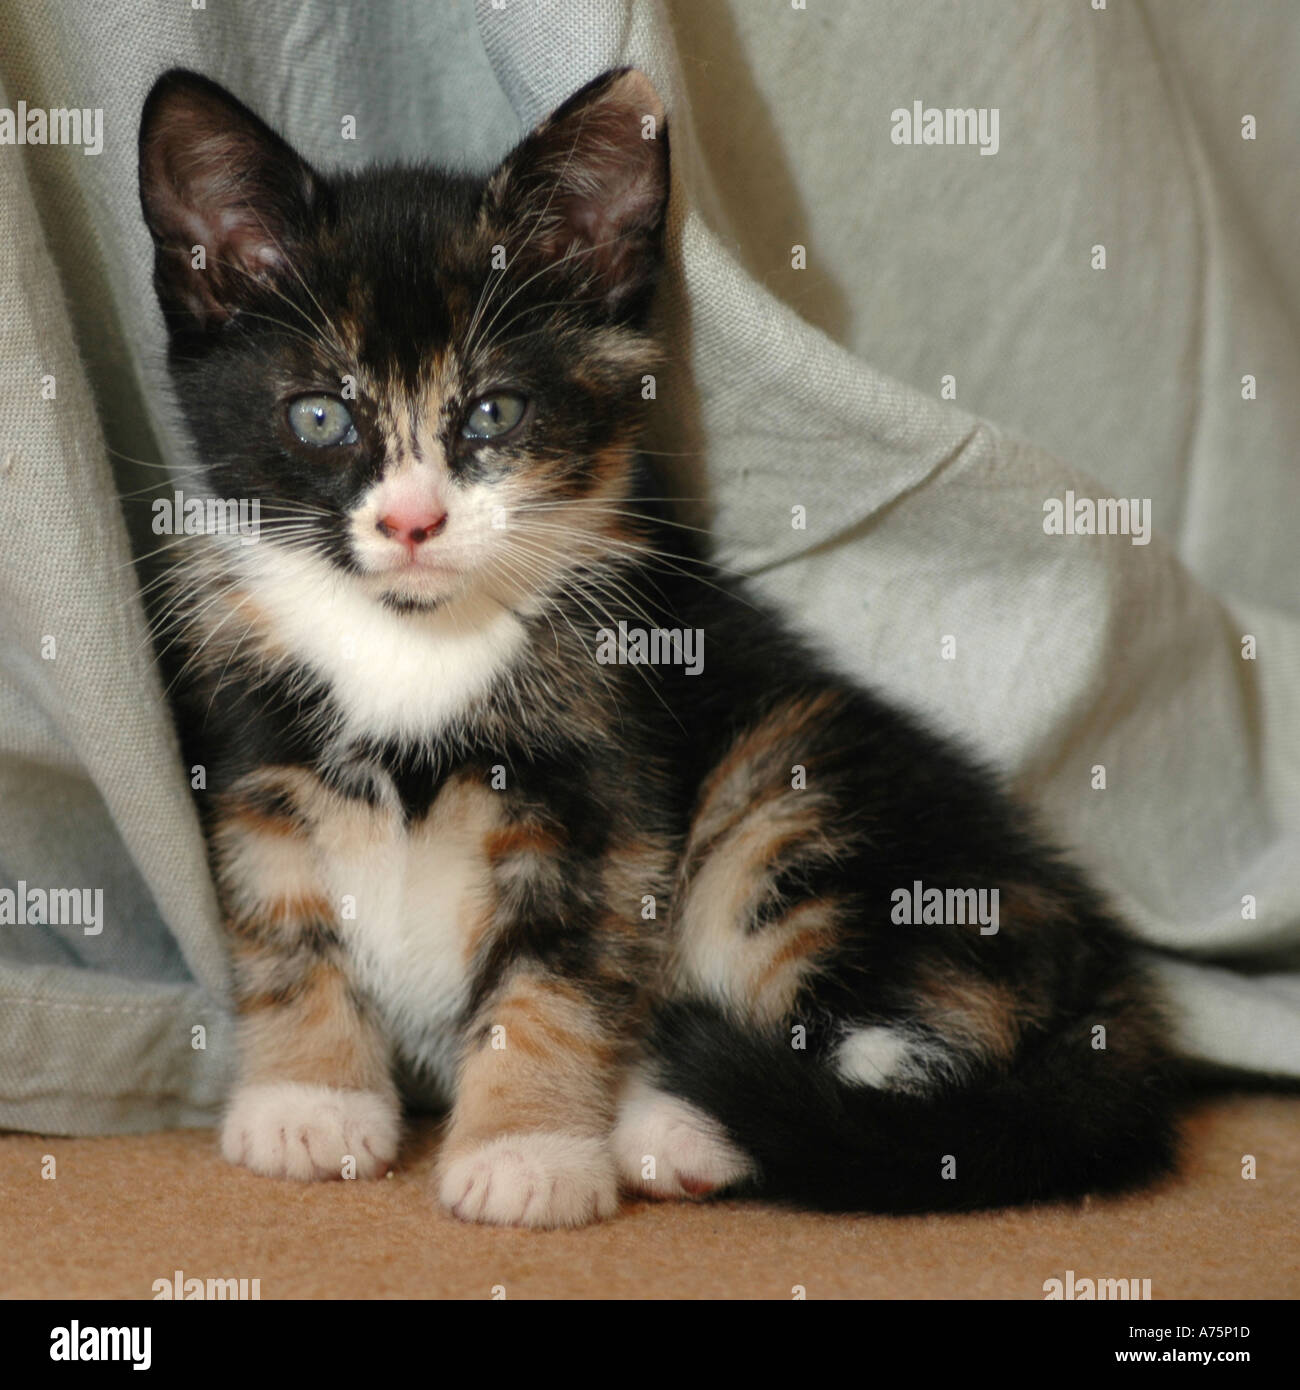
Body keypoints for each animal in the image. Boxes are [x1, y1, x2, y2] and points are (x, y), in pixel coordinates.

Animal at [136, 67, 1173, 1228]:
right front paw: (309, 1103)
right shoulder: (254, 752)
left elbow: (559, 975)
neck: (416, 640)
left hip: (802, 801)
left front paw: (530, 1151)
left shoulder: (609, 793)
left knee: (905, 1044)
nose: (412, 522)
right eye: (318, 416)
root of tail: (1093, 951)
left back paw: (679, 1124)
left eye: (494, 412)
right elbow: (281, 923)